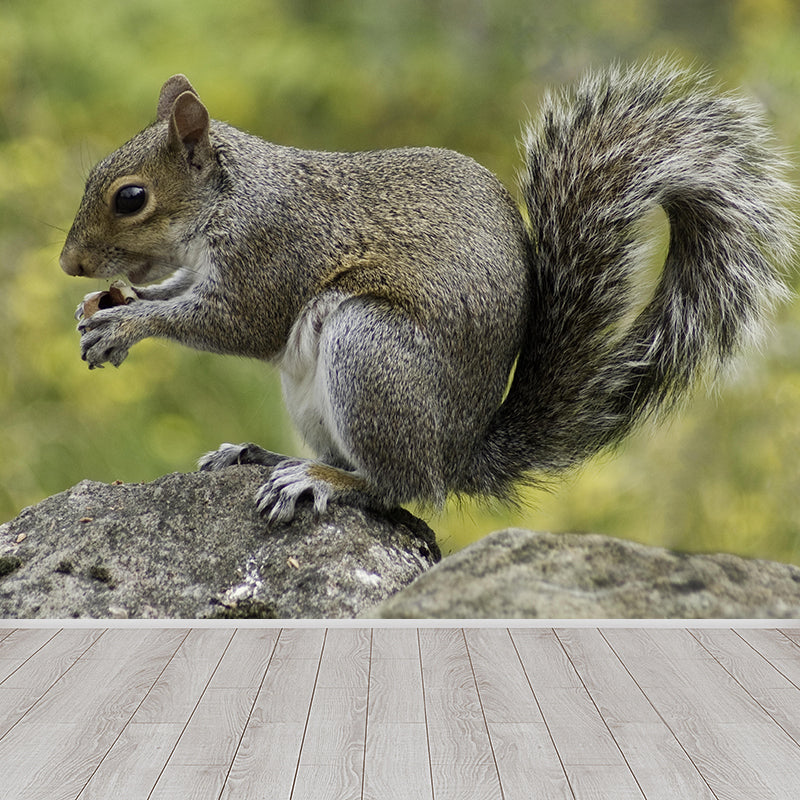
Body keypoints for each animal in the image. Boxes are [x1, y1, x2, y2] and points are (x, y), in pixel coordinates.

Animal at [60, 63, 795, 524]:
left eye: (131, 198)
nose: (70, 264)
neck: (232, 197)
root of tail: (457, 453)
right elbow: (182, 289)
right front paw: (106, 307)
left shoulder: (273, 253)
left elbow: (237, 323)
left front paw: (126, 325)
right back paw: (264, 455)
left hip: (371, 351)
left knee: (399, 488)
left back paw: (321, 480)